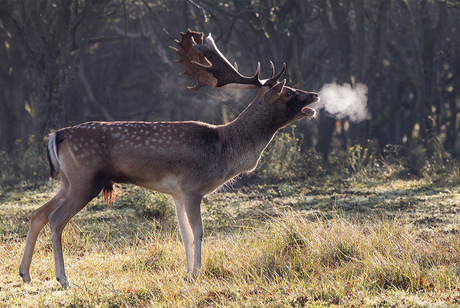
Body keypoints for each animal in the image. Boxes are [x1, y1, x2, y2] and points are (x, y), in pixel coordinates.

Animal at [19, 30, 318, 288]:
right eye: (289, 92)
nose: (314, 94)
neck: (224, 149)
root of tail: (57, 135)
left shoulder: (176, 193)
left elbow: (184, 233)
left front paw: (187, 273)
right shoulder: (193, 187)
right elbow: (198, 231)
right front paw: (197, 274)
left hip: (68, 181)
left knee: (38, 213)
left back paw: (25, 274)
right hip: (85, 180)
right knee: (56, 219)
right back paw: (63, 278)